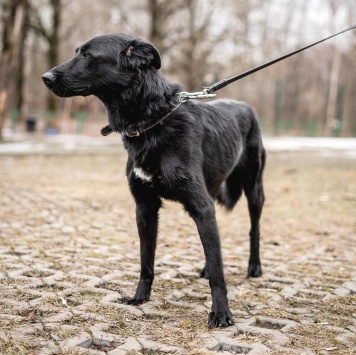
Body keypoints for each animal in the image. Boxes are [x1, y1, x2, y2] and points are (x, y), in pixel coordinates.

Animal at [42, 33, 264, 328]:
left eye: (88, 55)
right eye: (78, 51)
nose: (45, 77)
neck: (152, 120)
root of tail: (245, 106)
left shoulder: (200, 205)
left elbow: (219, 273)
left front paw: (221, 313)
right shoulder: (145, 207)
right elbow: (146, 260)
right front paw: (140, 298)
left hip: (254, 190)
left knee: (253, 230)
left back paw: (254, 267)